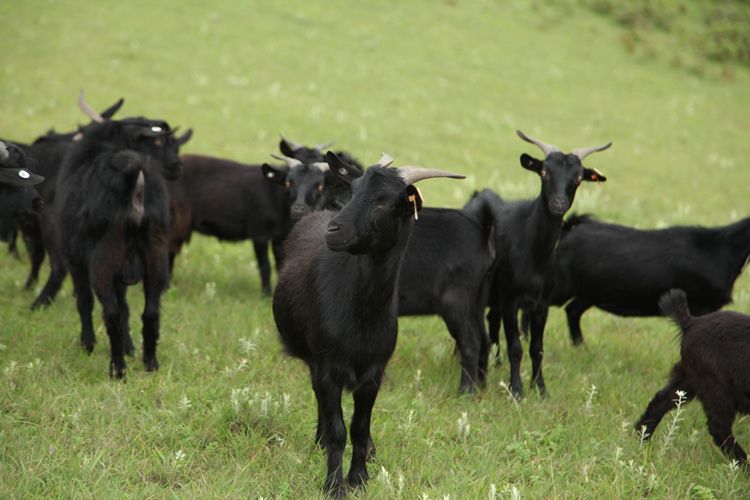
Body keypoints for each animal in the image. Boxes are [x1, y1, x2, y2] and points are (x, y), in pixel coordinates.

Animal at [56, 110, 185, 378]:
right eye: (159, 141)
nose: (178, 167)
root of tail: (136, 177)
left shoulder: (75, 260)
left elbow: (85, 301)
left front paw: (87, 345)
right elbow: (126, 308)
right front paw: (130, 347)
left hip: (104, 257)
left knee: (111, 313)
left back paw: (117, 369)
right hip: (156, 255)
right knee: (151, 312)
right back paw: (150, 363)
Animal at [488, 132, 612, 398]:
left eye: (578, 178)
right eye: (544, 172)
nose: (558, 204)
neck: (534, 255)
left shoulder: (541, 305)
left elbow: (537, 348)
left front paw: (541, 388)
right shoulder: (511, 301)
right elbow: (515, 347)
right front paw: (516, 390)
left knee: (491, 319)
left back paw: (495, 363)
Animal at [548, 213, 750, 346]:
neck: (720, 250)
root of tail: (569, 230)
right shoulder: (701, 307)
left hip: (592, 292)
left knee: (572, 310)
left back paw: (581, 348)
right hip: (561, 286)